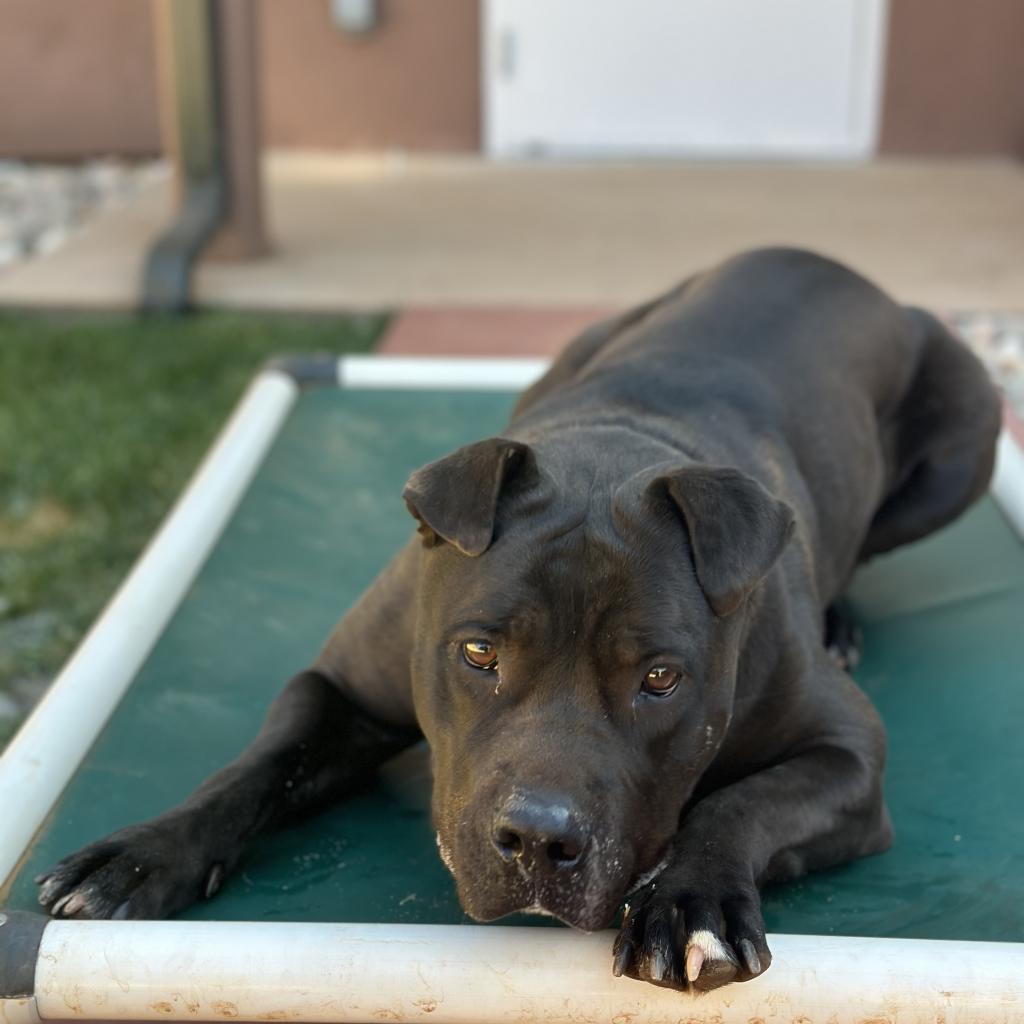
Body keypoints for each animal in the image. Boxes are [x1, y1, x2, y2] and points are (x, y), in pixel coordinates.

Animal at [36, 247, 995, 991]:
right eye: (476, 652)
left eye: (660, 678)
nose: (539, 840)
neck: (613, 445)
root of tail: (824, 263)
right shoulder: (341, 687)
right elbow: (255, 768)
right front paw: (143, 853)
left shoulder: (849, 754)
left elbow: (741, 803)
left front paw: (692, 902)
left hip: (967, 435)